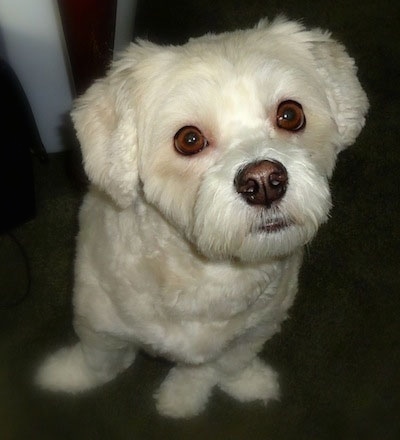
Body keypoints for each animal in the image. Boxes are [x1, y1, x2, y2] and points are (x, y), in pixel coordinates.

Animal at [37, 16, 368, 416]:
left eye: (290, 115)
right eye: (189, 139)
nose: (263, 181)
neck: (210, 273)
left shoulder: (259, 328)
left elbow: (222, 364)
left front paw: (193, 394)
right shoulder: (99, 325)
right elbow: (98, 360)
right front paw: (69, 375)